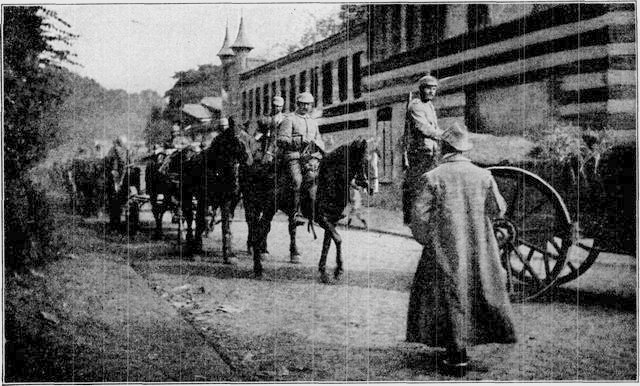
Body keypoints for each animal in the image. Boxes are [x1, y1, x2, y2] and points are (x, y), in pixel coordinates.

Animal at [244, 134, 376, 282]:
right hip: (262, 208)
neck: (328, 181)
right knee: (258, 232)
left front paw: (324, 272)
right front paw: (338, 270)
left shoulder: (332, 220)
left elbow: (327, 243)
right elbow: (338, 239)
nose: (371, 188)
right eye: (364, 161)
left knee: (264, 230)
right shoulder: (322, 218)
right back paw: (258, 269)